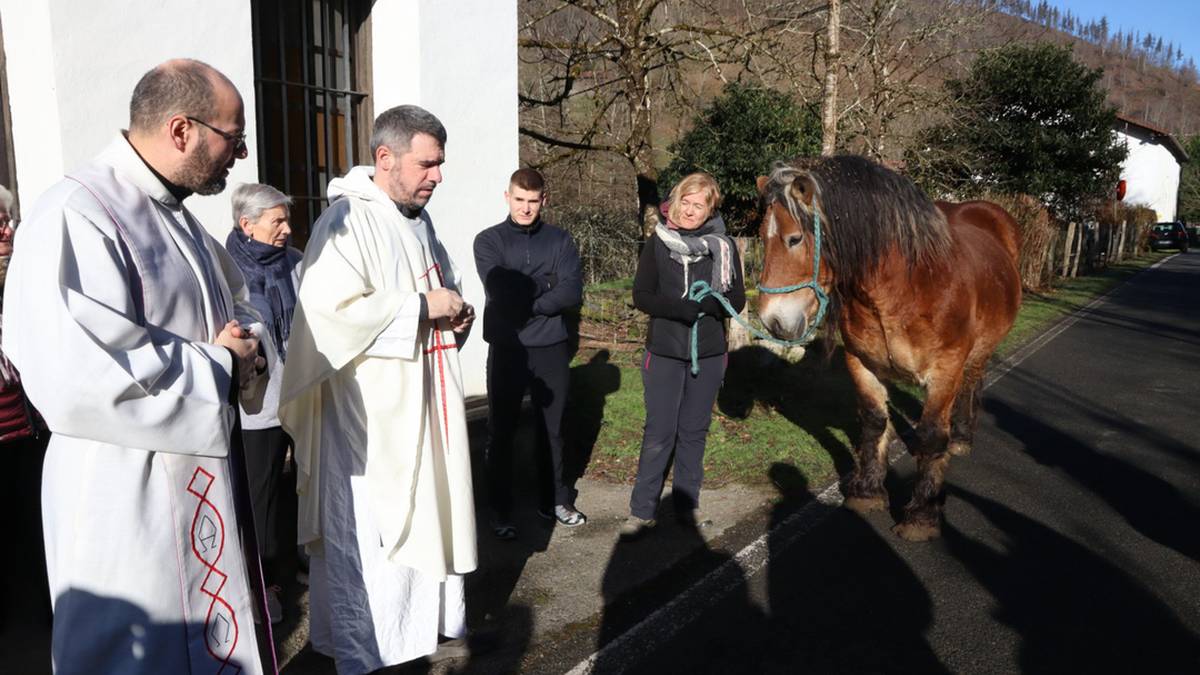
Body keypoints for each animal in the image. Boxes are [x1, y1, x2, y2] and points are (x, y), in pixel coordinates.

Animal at [753, 154, 1017, 538]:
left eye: (794, 238)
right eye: (761, 237)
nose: (773, 321)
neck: (907, 288)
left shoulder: (945, 371)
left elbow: (931, 436)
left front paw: (922, 513)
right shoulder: (862, 363)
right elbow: (874, 422)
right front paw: (867, 491)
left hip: (977, 353)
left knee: (971, 383)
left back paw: (962, 437)